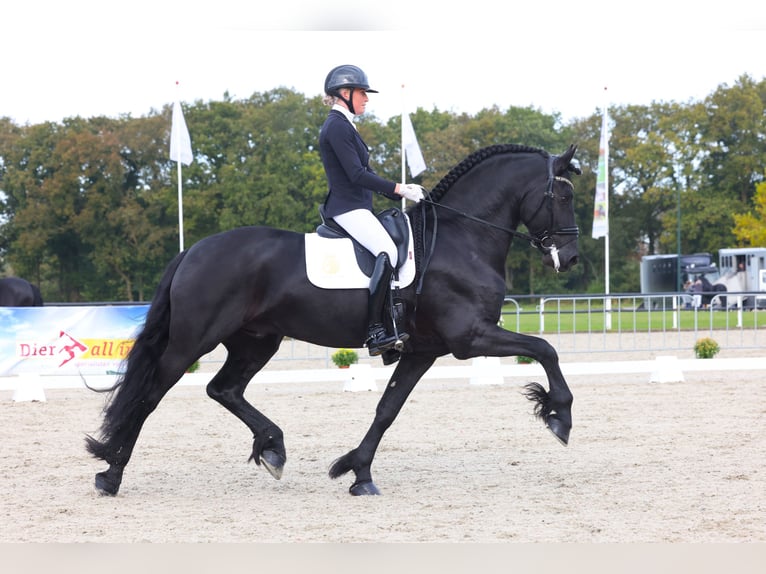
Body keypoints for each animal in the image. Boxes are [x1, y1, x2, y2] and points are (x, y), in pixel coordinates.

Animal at [85, 145, 584, 500]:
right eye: (563, 196)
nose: (571, 258)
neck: (462, 239)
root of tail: (194, 250)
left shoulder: (424, 350)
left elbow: (387, 409)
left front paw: (358, 472)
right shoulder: (470, 337)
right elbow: (545, 348)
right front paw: (558, 416)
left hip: (255, 341)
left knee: (223, 389)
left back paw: (273, 447)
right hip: (193, 341)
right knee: (150, 394)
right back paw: (111, 474)